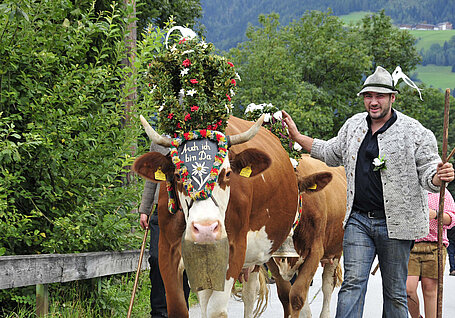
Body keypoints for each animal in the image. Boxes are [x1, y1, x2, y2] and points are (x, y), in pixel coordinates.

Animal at [133, 115, 300, 316]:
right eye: (178, 175)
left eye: (227, 174)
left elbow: (216, 310)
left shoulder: (235, 248)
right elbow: (180, 308)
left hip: (270, 254)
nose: (206, 228)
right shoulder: (167, 249)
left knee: (267, 295)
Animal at [266, 153, 348, 316]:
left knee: (327, 286)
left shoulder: (315, 251)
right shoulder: (270, 257)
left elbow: (296, 296)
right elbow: (285, 295)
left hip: (335, 252)